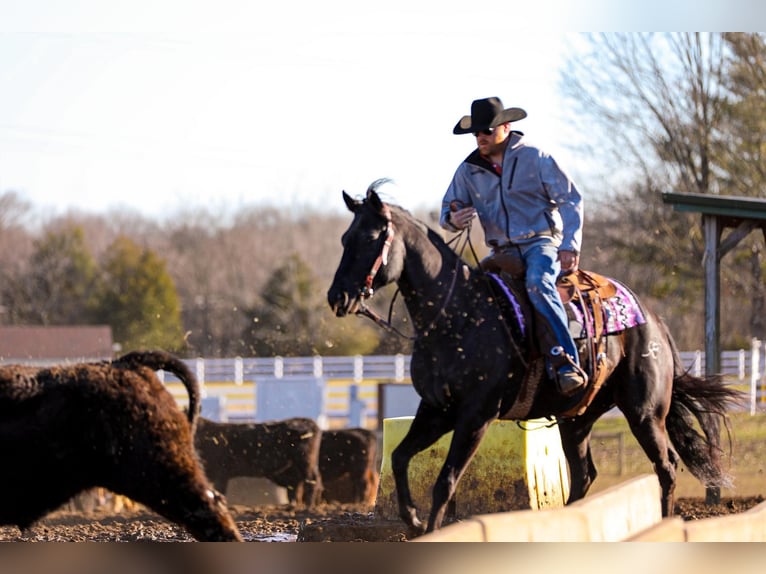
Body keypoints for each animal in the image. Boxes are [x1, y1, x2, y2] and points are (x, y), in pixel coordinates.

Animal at [196, 418, 326, 508]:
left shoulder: (221, 474)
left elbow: (219, 491)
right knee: (301, 484)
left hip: (305, 461)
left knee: (312, 480)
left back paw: (308, 506)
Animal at [328, 182, 744, 536]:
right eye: (345, 238)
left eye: (370, 239)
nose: (337, 296)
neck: (458, 315)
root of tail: (652, 319)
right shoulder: (436, 410)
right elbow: (400, 457)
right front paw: (413, 520)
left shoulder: (475, 416)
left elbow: (445, 481)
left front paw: (428, 529)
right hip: (577, 418)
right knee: (585, 474)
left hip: (644, 412)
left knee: (666, 466)